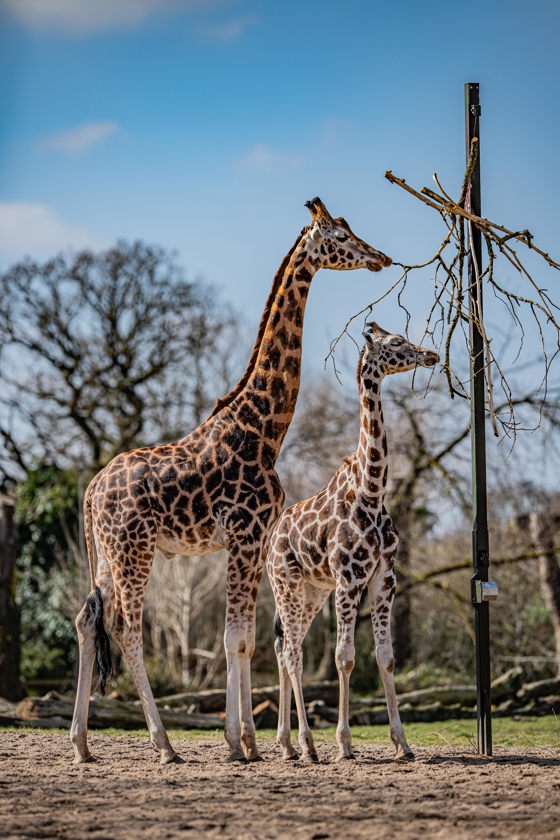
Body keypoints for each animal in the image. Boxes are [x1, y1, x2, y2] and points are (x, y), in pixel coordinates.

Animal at [70, 198, 392, 765]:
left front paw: (250, 743)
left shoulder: (254, 540)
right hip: (135, 550)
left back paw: (82, 744)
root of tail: (90, 490)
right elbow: (235, 638)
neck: (264, 429)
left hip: (108, 554)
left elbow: (246, 639)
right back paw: (164, 745)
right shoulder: (244, 535)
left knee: (88, 621)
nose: (381, 257)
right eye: (339, 236)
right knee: (126, 629)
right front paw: (239, 742)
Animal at [267, 322, 439, 762]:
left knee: (284, 649)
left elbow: (386, 658)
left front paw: (402, 743)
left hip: (312, 593)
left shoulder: (383, 579)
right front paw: (344, 743)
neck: (372, 491)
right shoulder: (349, 579)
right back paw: (308, 744)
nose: (431, 355)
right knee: (292, 653)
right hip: (286, 586)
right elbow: (344, 657)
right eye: (396, 342)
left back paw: (287, 744)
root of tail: (271, 539)